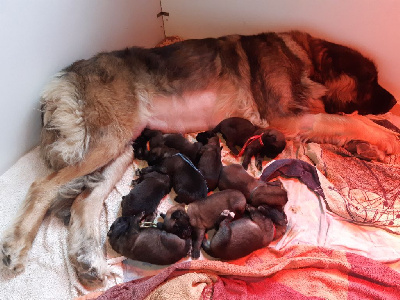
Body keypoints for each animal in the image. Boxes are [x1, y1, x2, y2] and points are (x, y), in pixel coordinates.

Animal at [0, 30, 400, 286]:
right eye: (372, 80)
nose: (394, 101)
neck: (305, 59)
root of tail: (65, 76)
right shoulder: (287, 118)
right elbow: (350, 121)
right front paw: (388, 138)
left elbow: (345, 124)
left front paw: (370, 146)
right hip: (109, 139)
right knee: (42, 186)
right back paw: (16, 248)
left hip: (123, 146)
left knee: (85, 199)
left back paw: (88, 261)